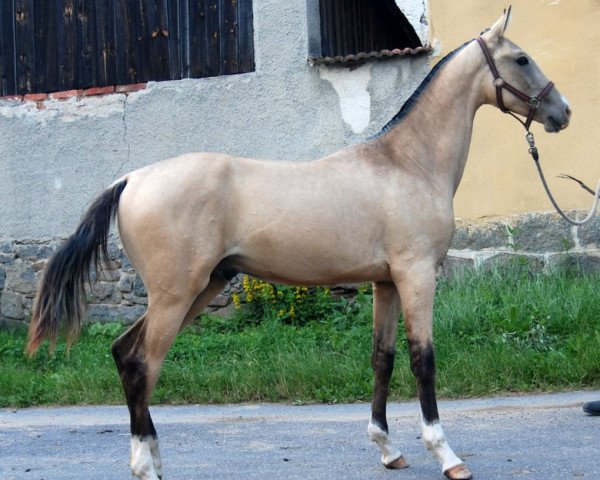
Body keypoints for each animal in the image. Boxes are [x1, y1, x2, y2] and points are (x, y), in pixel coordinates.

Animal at [27, 8, 572, 480]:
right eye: (521, 59)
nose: (562, 112)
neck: (406, 163)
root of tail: (130, 179)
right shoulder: (416, 275)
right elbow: (424, 360)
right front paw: (447, 456)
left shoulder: (386, 282)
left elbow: (383, 358)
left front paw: (388, 449)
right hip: (175, 295)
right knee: (143, 364)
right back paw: (145, 466)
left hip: (199, 288)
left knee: (124, 354)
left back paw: (152, 458)